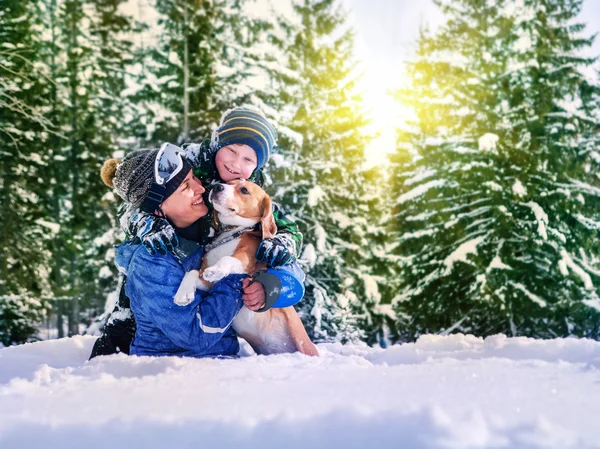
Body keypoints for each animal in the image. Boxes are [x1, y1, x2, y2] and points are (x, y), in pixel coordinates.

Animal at [173, 178, 318, 356]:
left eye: (244, 190)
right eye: (228, 182)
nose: (216, 186)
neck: (232, 231)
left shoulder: (245, 260)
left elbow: (227, 259)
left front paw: (215, 270)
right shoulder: (208, 285)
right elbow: (192, 271)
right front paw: (183, 293)